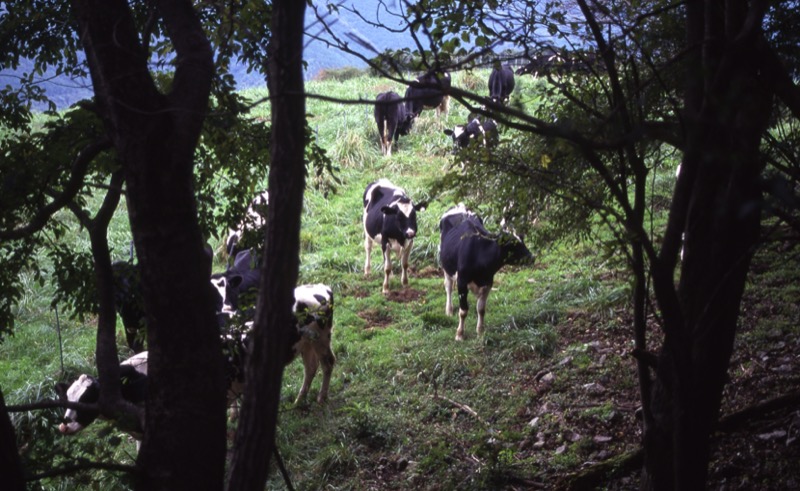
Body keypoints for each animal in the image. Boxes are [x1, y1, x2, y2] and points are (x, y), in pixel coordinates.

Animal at [438, 206, 536, 340]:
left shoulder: (488, 282)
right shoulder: (462, 282)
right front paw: (460, 334)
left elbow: (481, 309)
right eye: (512, 244)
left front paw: (480, 332)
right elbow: (463, 311)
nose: (532, 257)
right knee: (448, 286)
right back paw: (449, 310)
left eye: (522, 240)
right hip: (446, 267)